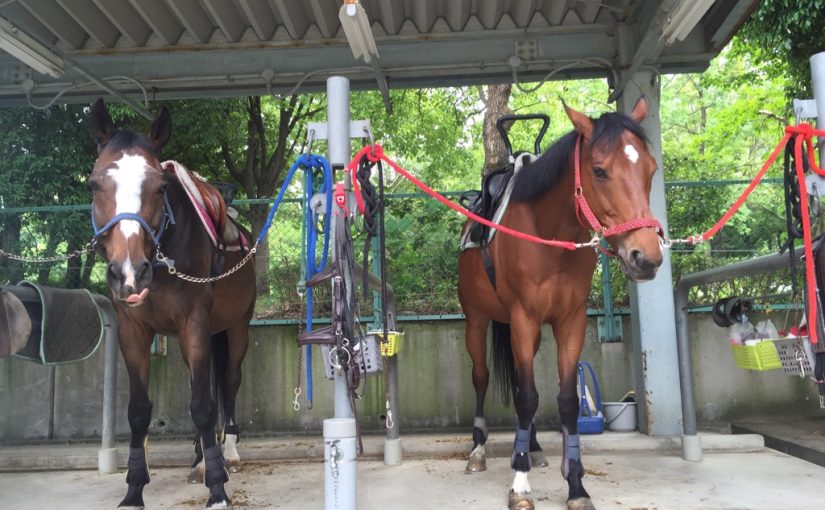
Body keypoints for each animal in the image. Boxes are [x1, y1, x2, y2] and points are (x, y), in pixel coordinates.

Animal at [88, 99, 257, 509]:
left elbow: (203, 405)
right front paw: (134, 489)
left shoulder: (193, 322)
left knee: (229, 381)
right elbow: (139, 411)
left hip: (237, 327)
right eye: (94, 184)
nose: (129, 272)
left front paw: (218, 489)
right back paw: (200, 456)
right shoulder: (133, 330)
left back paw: (227, 452)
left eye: (160, 187)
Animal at [458, 97, 663, 510]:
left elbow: (565, 400)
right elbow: (526, 396)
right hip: (477, 320)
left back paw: (533, 447)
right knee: (482, 377)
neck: (549, 235)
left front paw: (576, 485)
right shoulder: (522, 318)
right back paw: (478, 450)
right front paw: (520, 485)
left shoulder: (571, 320)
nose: (646, 257)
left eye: (650, 168)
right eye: (599, 170)